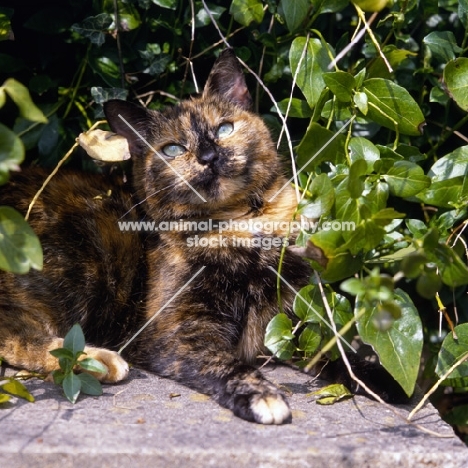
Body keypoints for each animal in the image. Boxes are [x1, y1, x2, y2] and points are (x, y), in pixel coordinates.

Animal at [1, 50, 314, 424]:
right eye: (173, 150)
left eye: (224, 128)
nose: (209, 157)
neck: (237, 222)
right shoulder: (175, 329)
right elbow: (224, 362)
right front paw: (261, 394)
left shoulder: (297, 317)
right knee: (14, 332)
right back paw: (98, 362)